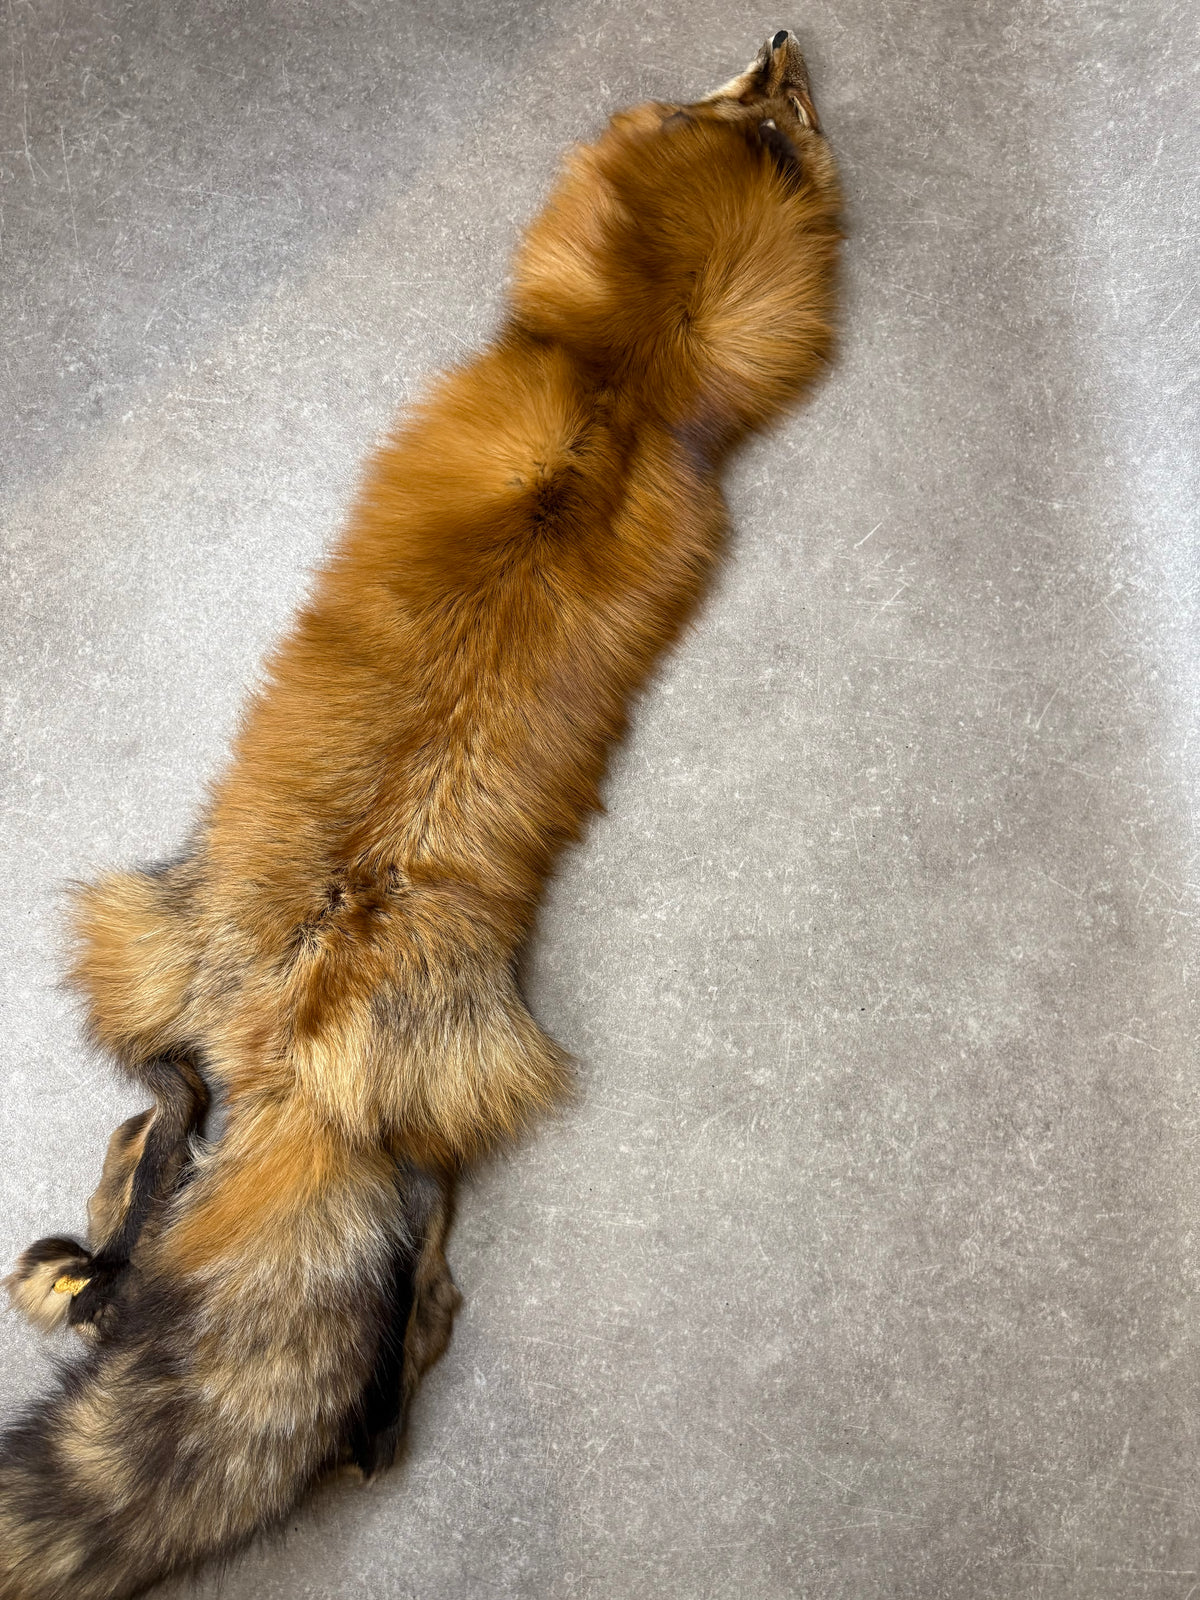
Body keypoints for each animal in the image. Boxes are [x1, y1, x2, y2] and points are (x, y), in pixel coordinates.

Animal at [0, 30, 841, 1600]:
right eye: (769, 103)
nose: (783, 39)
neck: (620, 387)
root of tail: (299, 1039)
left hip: (180, 970)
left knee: (174, 1185)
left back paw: (103, 1242)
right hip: (298, 1034)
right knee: (351, 1361)